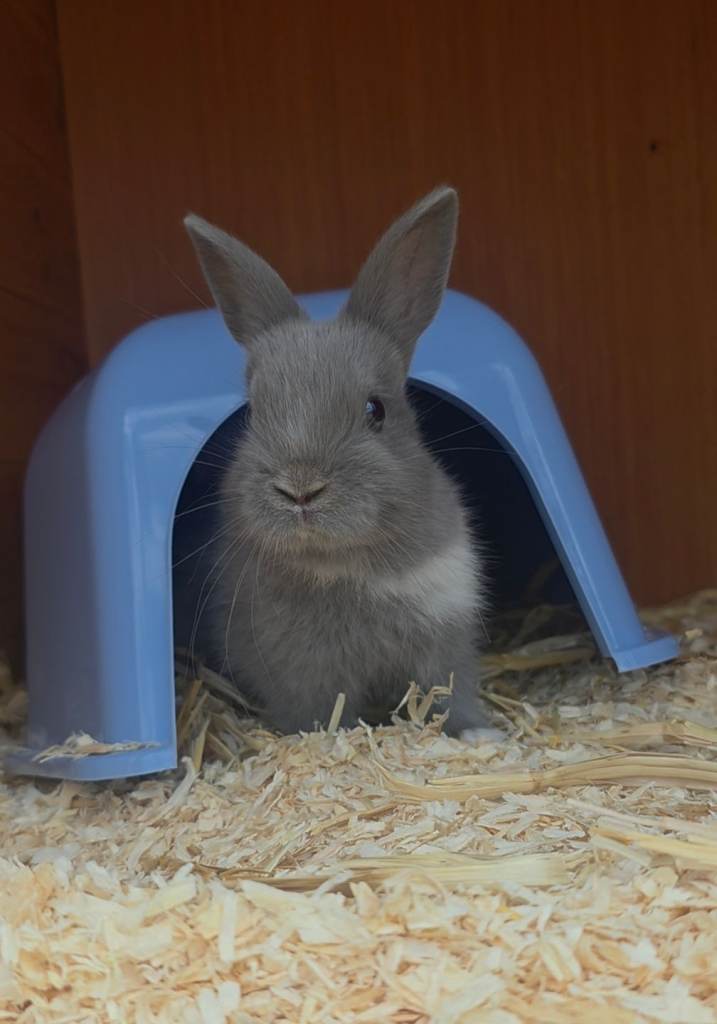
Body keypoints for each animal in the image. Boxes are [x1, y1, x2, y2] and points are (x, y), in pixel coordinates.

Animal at [183, 186, 494, 736]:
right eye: (253, 412)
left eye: (376, 409)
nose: (301, 489)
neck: (345, 565)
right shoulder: (301, 670)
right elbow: (320, 711)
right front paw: (330, 738)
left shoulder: (444, 631)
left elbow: (448, 692)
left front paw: (476, 731)